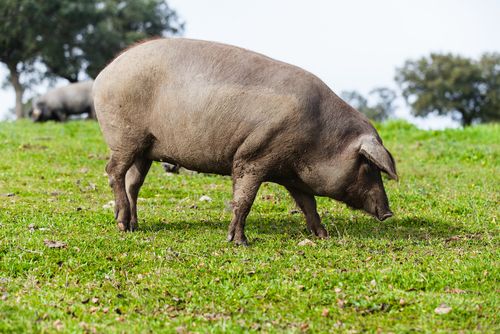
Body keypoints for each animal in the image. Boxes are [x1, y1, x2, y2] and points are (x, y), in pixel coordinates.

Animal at [94, 37, 398, 245]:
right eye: (368, 165)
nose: (388, 213)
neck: (319, 138)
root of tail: (103, 74)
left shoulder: (292, 174)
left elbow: (308, 204)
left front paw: (323, 236)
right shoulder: (253, 156)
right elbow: (244, 199)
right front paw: (239, 242)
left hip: (144, 149)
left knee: (133, 182)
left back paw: (132, 226)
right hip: (124, 138)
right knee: (113, 172)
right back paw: (121, 224)